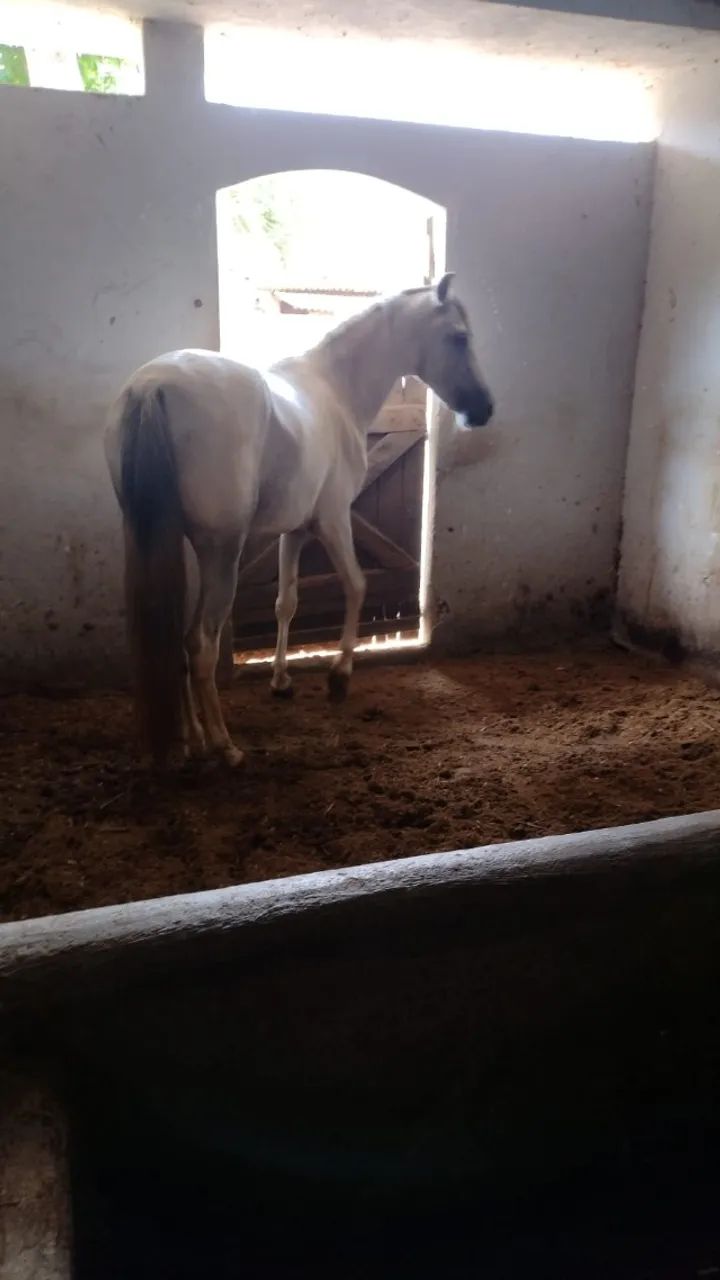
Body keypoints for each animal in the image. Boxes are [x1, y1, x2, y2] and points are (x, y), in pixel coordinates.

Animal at [104, 273, 494, 768]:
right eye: (459, 338)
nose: (483, 409)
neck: (335, 389)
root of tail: (152, 387)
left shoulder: (293, 531)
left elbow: (285, 603)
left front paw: (281, 681)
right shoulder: (333, 520)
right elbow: (356, 585)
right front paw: (339, 677)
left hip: (174, 544)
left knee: (177, 637)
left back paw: (191, 739)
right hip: (222, 553)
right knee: (200, 643)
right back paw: (224, 745)